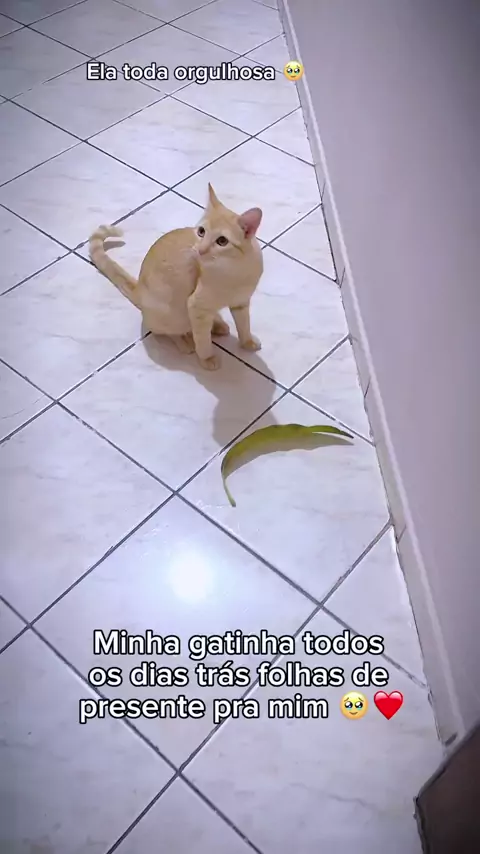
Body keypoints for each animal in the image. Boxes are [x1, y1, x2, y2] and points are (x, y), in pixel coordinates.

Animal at [88, 184, 263, 370]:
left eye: (222, 241)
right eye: (201, 231)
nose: (200, 250)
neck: (234, 271)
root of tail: (139, 290)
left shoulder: (241, 303)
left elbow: (244, 325)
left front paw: (247, 342)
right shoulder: (196, 307)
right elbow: (202, 339)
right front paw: (207, 357)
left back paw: (217, 325)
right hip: (172, 315)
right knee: (168, 332)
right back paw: (185, 341)